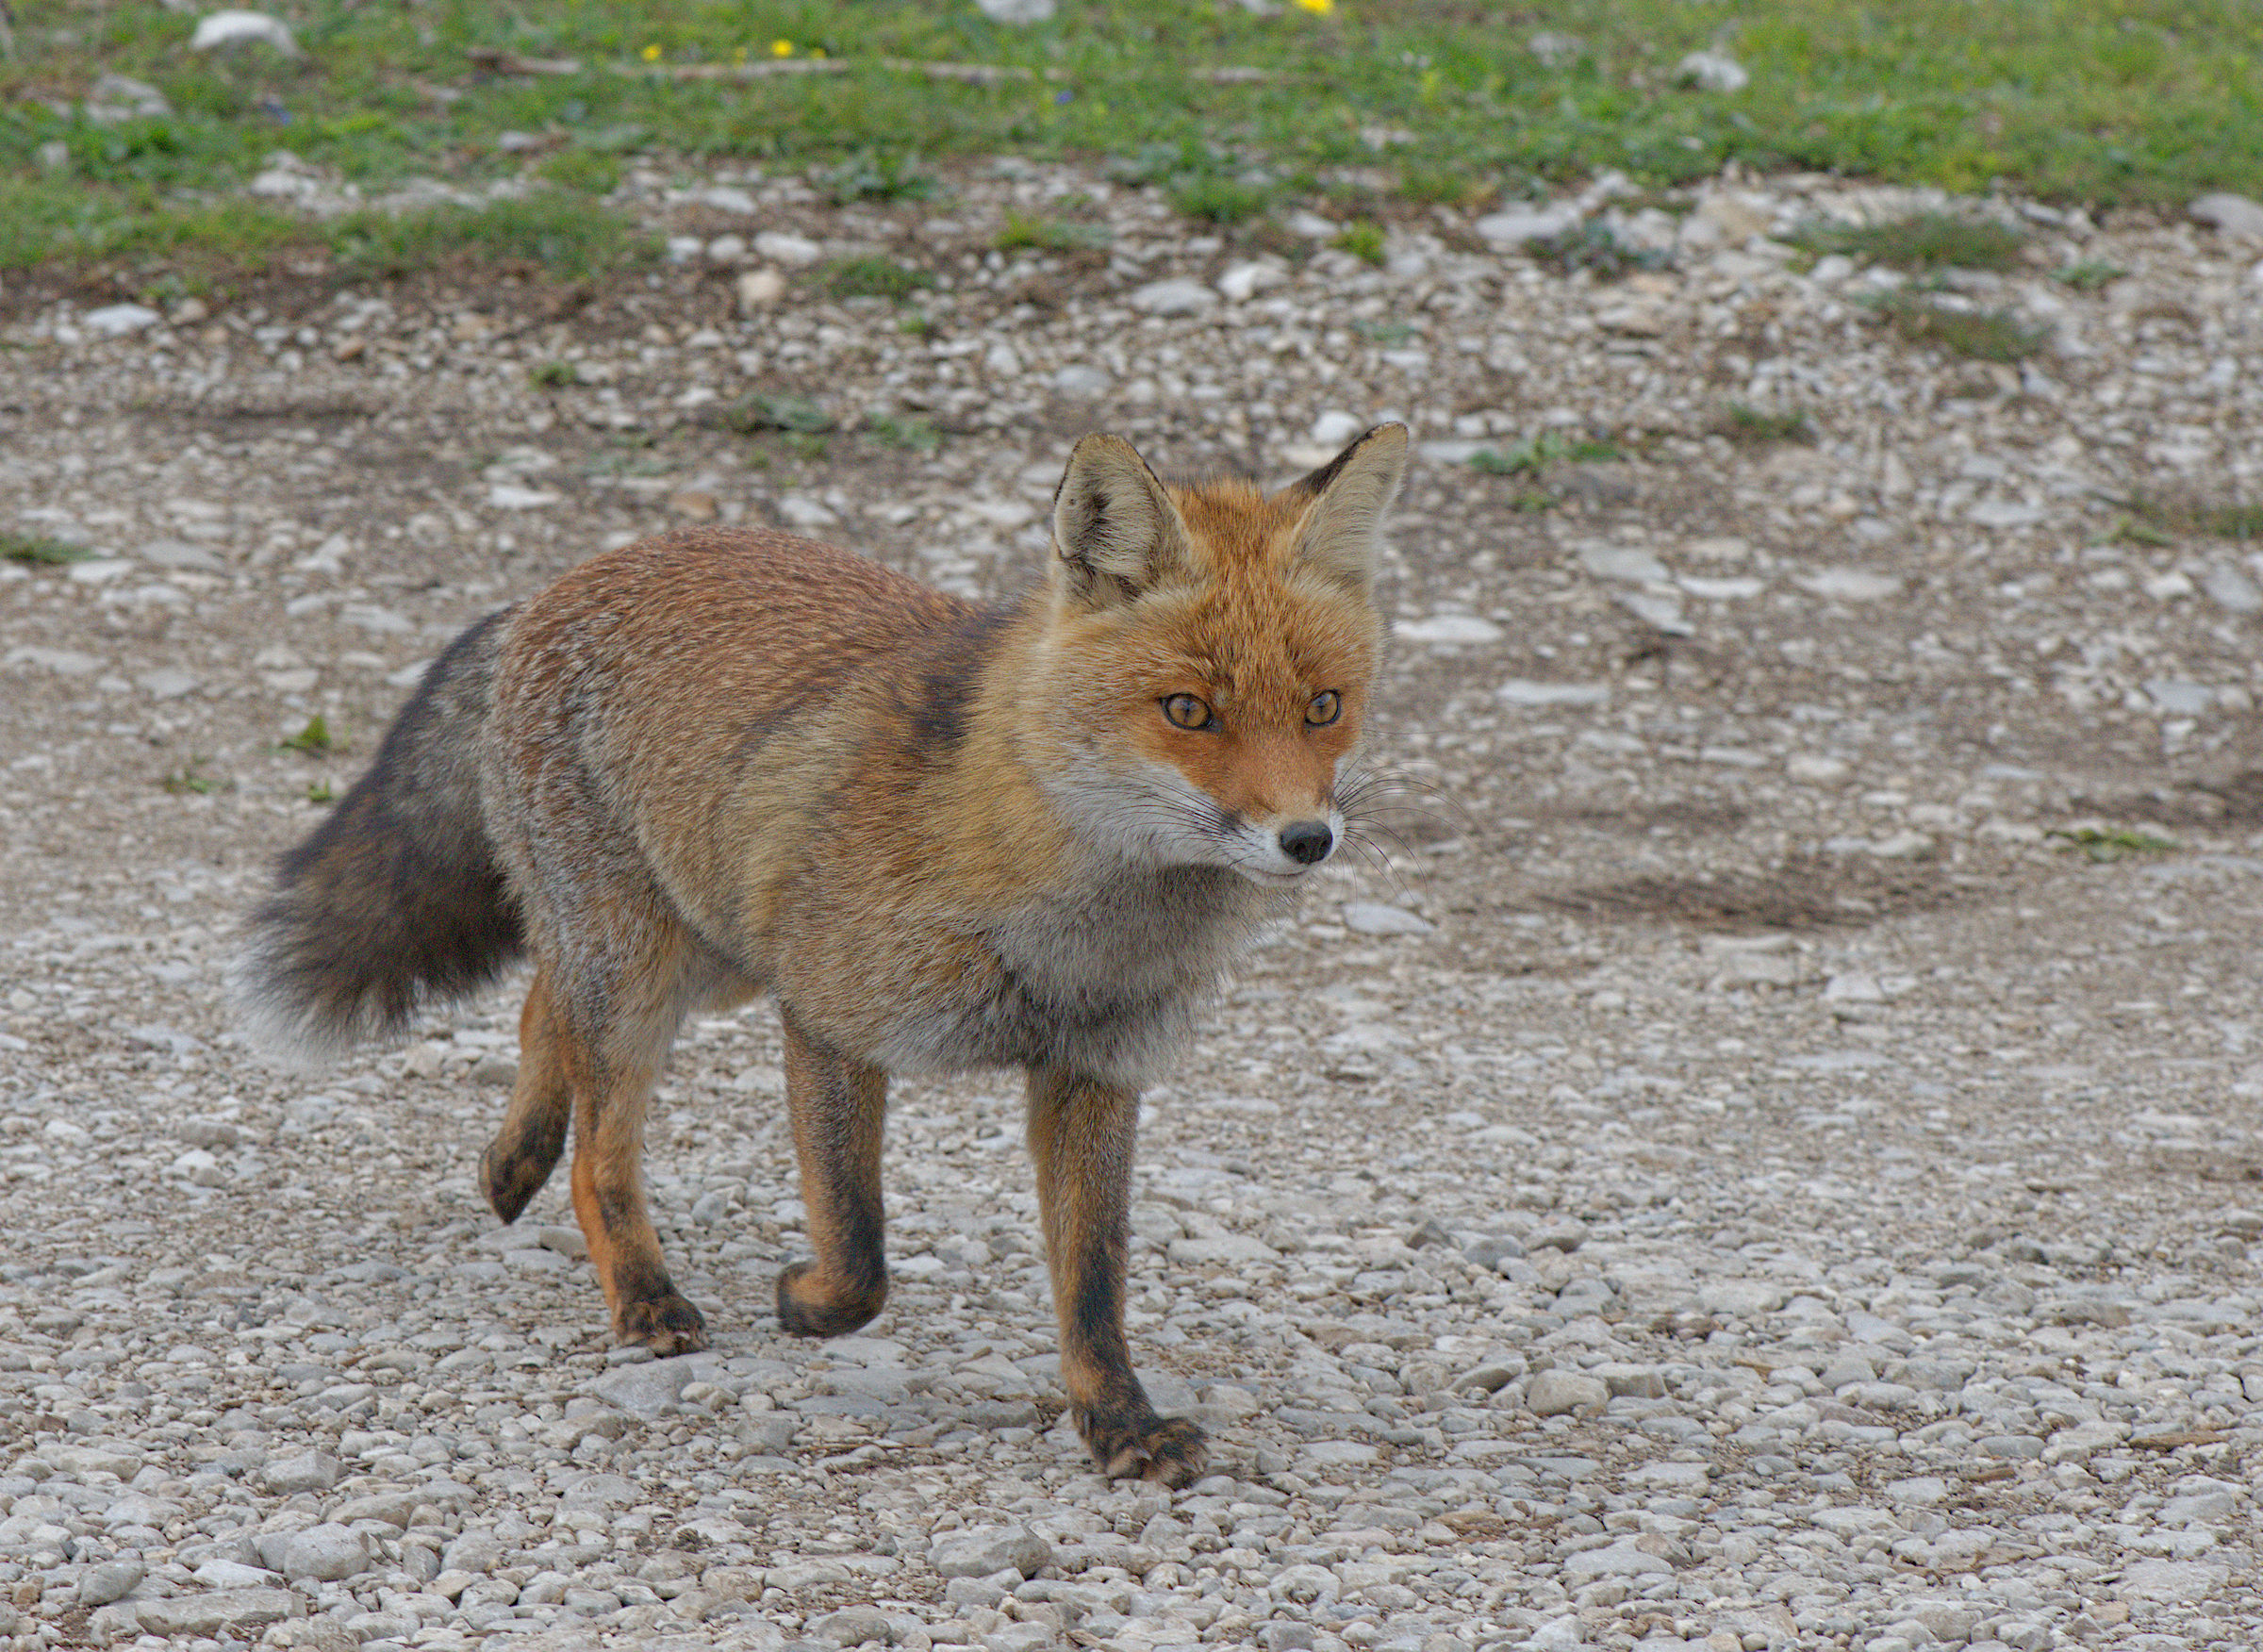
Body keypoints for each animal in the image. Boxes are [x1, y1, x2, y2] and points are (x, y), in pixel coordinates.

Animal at [234, 422, 1408, 1486]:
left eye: (1323, 707)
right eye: (1188, 711)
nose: (1308, 838)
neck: (1061, 931)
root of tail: (559, 584)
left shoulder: (1095, 1070)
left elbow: (1092, 1280)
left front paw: (1118, 1420)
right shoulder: (827, 1012)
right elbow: (860, 1250)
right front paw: (804, 1304)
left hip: (709, 951)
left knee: (541, 1004)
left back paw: (513, 1156)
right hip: (654, 972)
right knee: (598, 1148)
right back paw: (642, 1291)